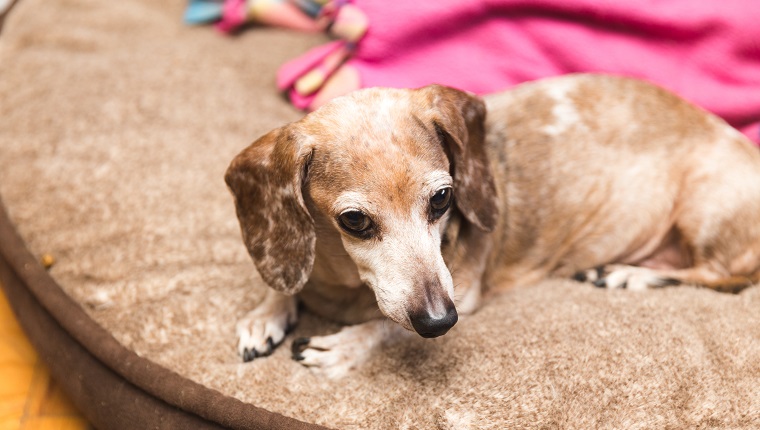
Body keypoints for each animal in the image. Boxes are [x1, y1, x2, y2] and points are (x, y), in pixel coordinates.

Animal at [226, 73, 760, 376]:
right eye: (354, 221)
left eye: (443, 199)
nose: (440, 322)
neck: (343, 280)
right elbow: (285, 282)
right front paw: (266, 312)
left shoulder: (464, 292)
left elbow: (387, 326)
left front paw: (345, 346)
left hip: (705, 204)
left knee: (723, 276)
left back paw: (627, 274)